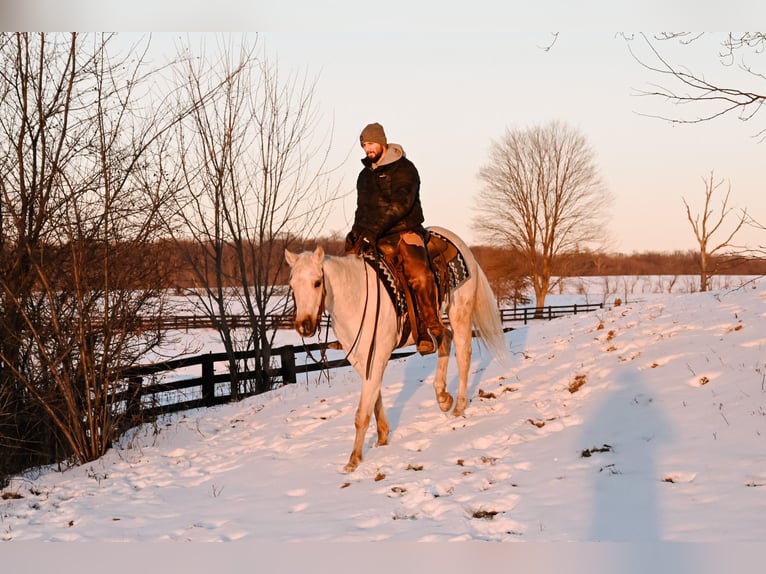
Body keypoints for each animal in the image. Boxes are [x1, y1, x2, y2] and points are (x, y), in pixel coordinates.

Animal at [284, 227, 508, 474]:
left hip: (460, 313)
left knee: (463, 355)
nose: (304, 327)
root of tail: (460, 243)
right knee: (444, 339)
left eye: (317, 283)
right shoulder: (362, 360)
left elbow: (362, 412)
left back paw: (458, 406)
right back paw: (442, 397)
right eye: (292, 285)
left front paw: (353, 460)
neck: (356, 297)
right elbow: (374, 398)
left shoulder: (378, 356)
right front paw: (382, 436)